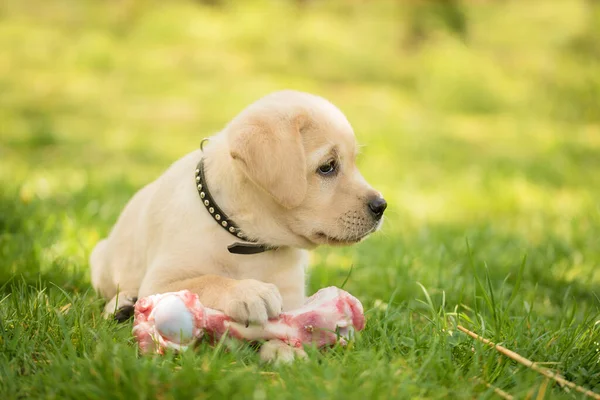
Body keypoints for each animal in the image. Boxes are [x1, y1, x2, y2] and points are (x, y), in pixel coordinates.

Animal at [91, 89, 386, 336]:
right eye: (327, 166)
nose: (381, 206)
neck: (245, 239)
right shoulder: (159, 282)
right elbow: (206, 280)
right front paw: (248, 291)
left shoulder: (293, 296)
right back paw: (122, 304)